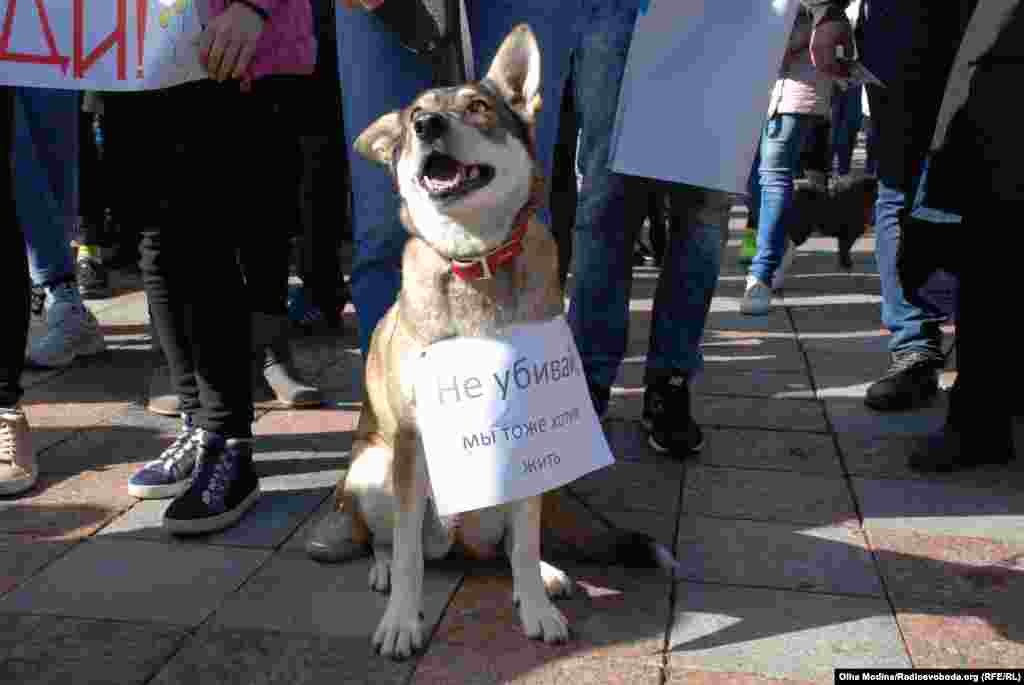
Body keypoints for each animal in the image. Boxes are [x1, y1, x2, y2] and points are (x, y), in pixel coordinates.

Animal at [319, 25, 671, 655]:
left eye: (478, 107)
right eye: (415, 116)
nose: (427, 127)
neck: (474, 260)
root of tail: (459, 542)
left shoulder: (532, 437)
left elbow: (526, 543)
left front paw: (536, 606)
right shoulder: (410, 443)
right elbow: (407, 555)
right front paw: (402, 621)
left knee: (513, 544)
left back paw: (548, 574)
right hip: (374, 467)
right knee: (391, 540)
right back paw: (381, 569)